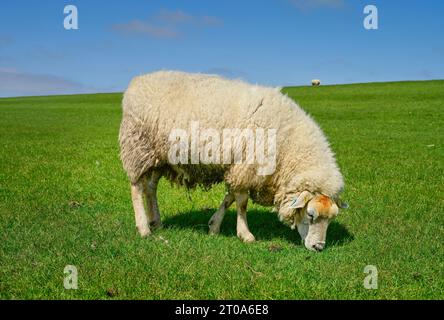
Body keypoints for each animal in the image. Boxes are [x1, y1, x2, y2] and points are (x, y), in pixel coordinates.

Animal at [119, 71, 348, 251]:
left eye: (331, 218)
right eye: (310, 215)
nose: (318, 247)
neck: (287, 141)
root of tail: (136, 83)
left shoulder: (238, 167)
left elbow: (229, 198)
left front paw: (213, 226)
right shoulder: (247, 166)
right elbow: (242, 202)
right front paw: (245, 234)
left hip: (158, 157)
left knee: (150, 188)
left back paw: (156, 222)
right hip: (138, 147)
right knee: (136, 188)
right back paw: (144, 228)